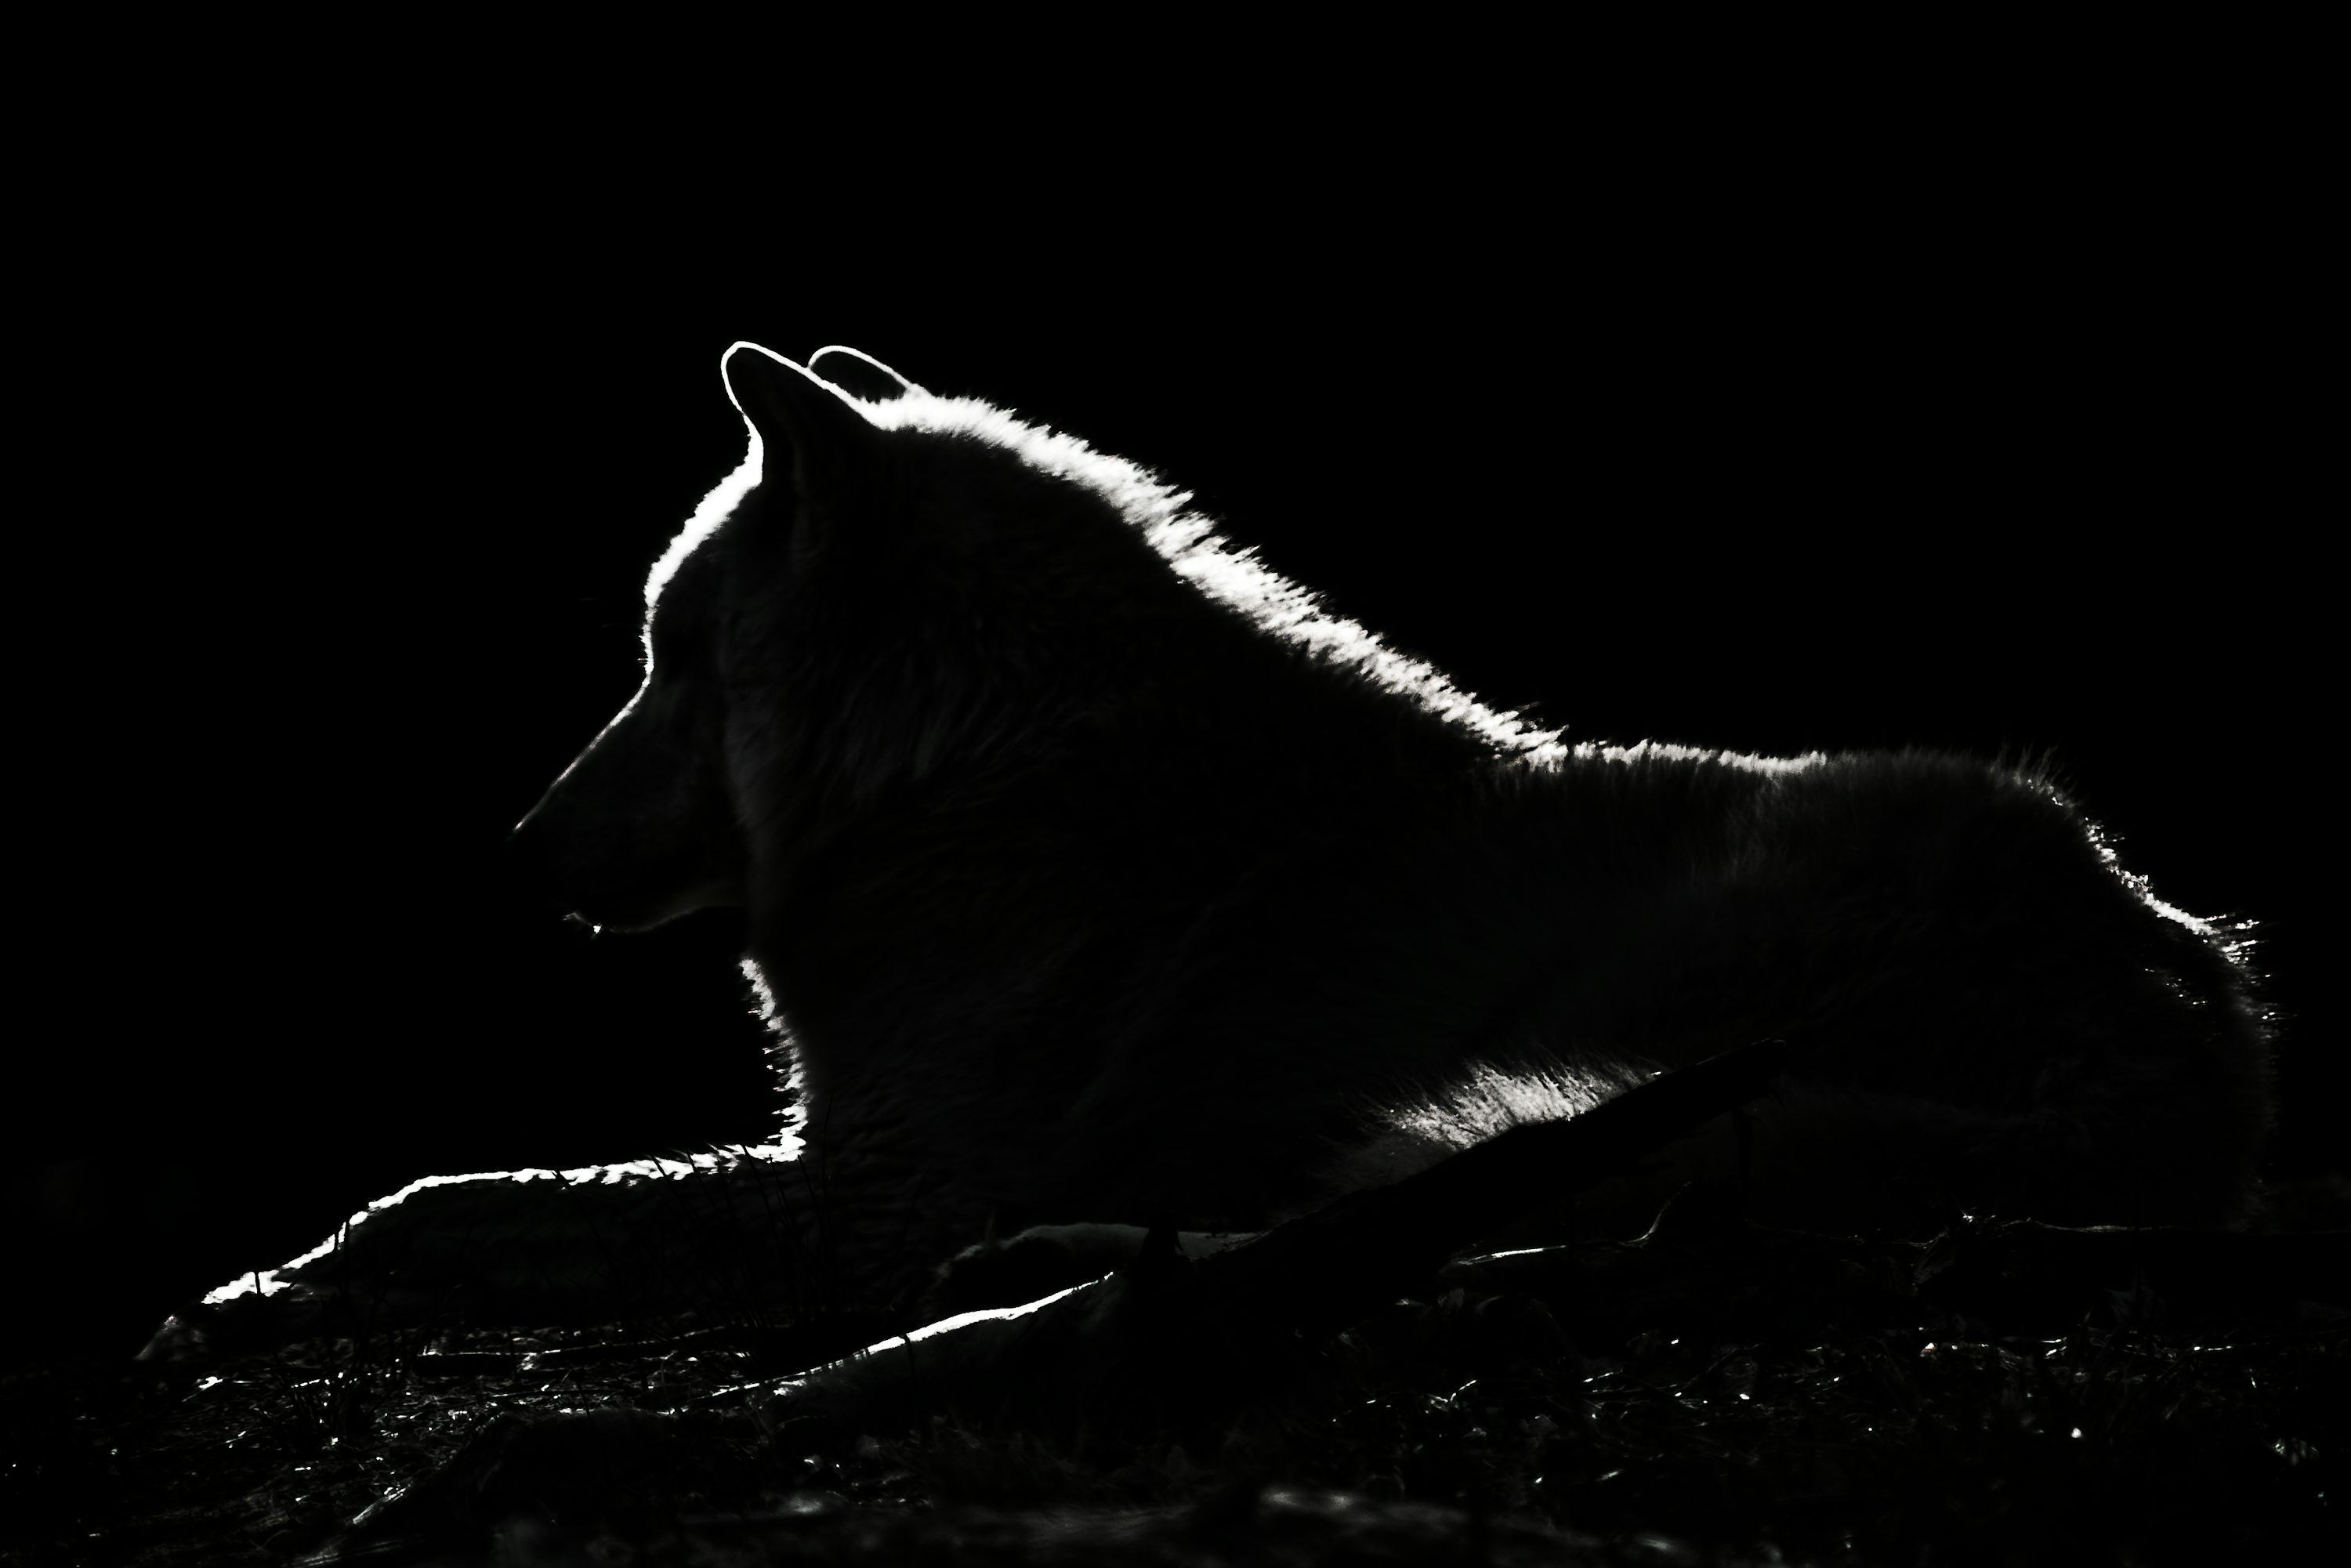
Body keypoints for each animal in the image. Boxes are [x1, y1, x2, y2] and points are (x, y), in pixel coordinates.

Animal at [154, 343, 2272, 1351]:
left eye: (670, 658)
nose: (519, 845)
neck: (976, 781)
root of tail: (2196, 1041)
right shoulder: (849, 1169)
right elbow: (480, 1192)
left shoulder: (869, 1187)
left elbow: (469, 1199)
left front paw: (279, 1282)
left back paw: (1080, 1270)